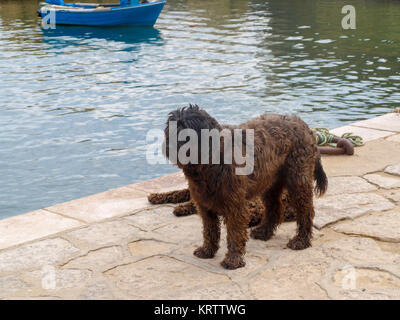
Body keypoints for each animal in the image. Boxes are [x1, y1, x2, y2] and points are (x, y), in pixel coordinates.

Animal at [162, 105, 328, 270]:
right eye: (170, 130)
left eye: (186, 131)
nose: (168, 146)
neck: (209, 163)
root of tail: (304, 125)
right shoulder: (204, 205)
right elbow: (210, 230)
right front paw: (207, 250)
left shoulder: (234, 205)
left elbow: (235, 233)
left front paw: (233, 259)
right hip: (270, 183)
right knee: (275, 207)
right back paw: (264, 231)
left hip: (298, 179)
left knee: (306, 210)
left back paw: (301, 240)